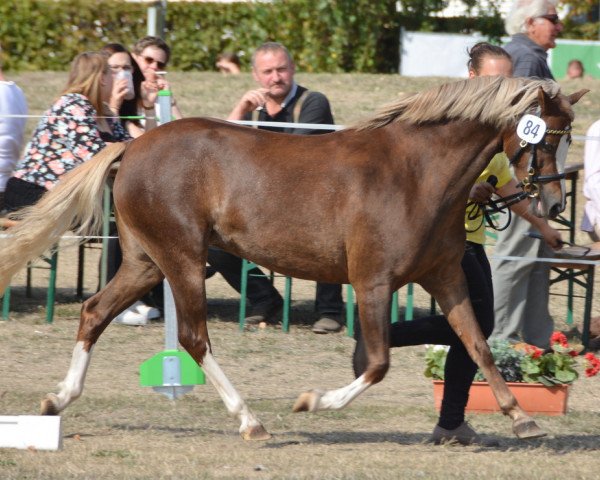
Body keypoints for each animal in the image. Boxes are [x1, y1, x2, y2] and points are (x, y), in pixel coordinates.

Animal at [0, 76, 588, 442]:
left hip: (146, 260)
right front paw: (311, 401)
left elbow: (477, 344)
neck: (418, 174)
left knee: (95, 311)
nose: (555, 205)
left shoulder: (443, 276)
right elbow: (378, 363)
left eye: (565, 136)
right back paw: (251, 422)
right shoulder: (372, 281)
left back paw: (57, 401)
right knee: (192, 337)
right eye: (543, 137)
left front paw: (522, 420)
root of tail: (132, 145)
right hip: (182, 257)